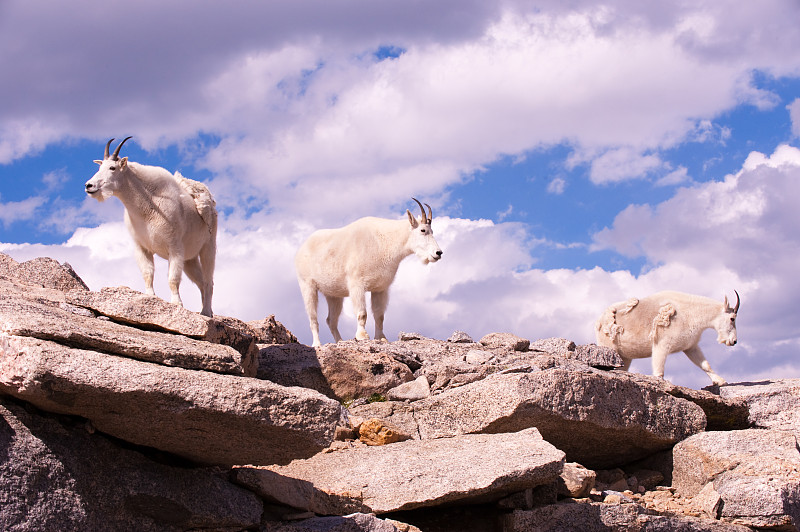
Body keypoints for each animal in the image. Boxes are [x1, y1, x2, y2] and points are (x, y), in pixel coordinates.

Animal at [83, 137, 219, 318]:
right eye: (99, 167)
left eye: (112, 168)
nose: (89, 186)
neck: (147, 206)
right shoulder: (142, 247)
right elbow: (147, 273)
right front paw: (150, 298)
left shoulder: (175, 247)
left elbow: (173, 279)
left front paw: (177, 304)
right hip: (190, 259)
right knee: (201, 282)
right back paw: (205, 312)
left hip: (208, 247)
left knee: (209, 281)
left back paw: (206, 311)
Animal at [296, 197, 444, 348]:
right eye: (422, 230)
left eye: (432, 231)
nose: (438, 253)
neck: (384, 242)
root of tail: (301, 248)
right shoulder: (357, 284)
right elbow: (362, 313)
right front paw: (362, 336)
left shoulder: (380, 288)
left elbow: (379, 315)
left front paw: (381, 338)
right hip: (307, 286)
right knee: (313, 318)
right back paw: (317, 344)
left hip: (333, 294)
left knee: (331, 320)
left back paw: (340, 342)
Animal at [592, 290, 736, 386]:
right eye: (732, 318)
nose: (734, 341)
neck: (692, 313)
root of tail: (599, 320)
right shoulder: (661, 344)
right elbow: (659, 371)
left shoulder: (690, 347)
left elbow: (705, 365)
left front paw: (721, 381)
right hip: (608, 347)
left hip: (625, 357)